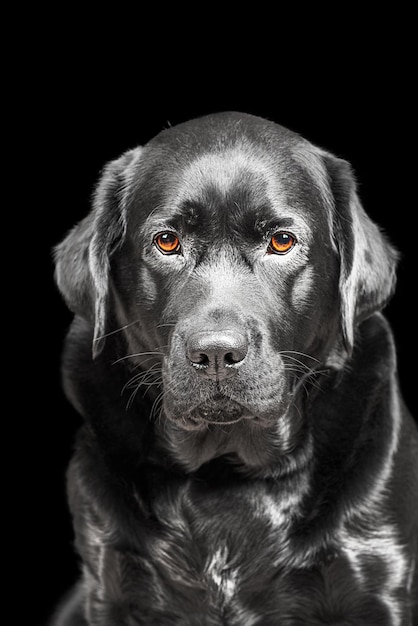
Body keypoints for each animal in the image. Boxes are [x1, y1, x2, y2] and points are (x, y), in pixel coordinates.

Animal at [50, 113, 416, 624]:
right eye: (167, 241)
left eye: (281, 241)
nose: (216, 354)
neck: (228, 467)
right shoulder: (112, 581)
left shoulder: (376, 582)